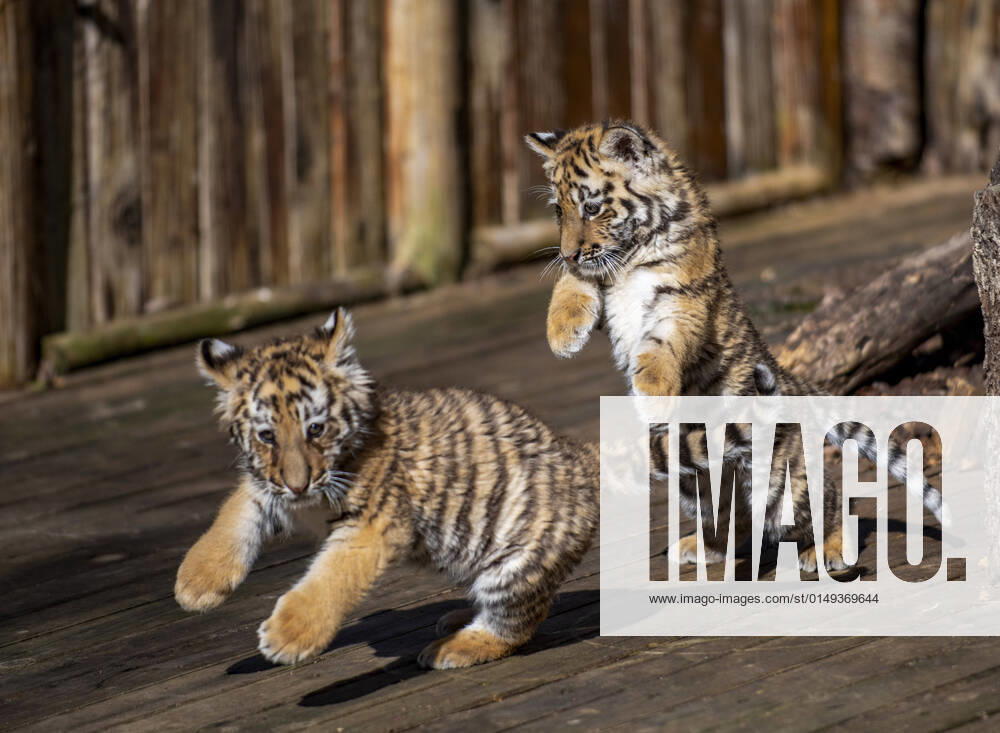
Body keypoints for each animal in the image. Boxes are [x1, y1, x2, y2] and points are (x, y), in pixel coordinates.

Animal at [174, 309, 598, 669]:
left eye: (316, 428)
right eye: (266, 436)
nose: (298, 485)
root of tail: (580, 456)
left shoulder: (372, 524)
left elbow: (332, 578)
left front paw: (289, 634)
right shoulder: (269, 487)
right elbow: (234, 513)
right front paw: (196, 583)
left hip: (516, 564)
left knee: (514, 623)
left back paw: (455, 646)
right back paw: (458, 617)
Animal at [526, 121, 943, 572]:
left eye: (591, 208)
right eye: (559, 211)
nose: (568, 252)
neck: (631, 255)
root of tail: (788, 379)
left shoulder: (684, 298)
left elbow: (659, 344)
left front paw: (651, 393)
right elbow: (573, 283)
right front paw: (562, 333)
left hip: (782, 479)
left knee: (833, 504)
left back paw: (828, 550)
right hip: (694, 477)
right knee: (734, 517)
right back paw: (700, 546)